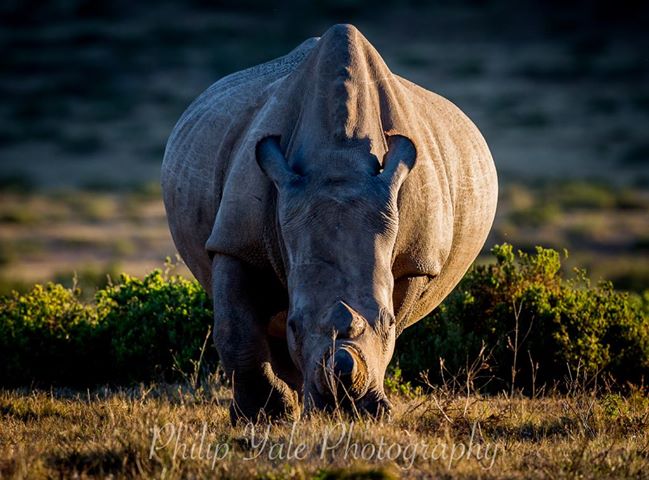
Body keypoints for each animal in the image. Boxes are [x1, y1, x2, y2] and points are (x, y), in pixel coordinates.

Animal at [161, 24, 496, 422]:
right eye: (295, 324)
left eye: (388, 323)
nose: (343, 406)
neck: (339, 159)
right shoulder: (237, 241)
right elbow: (235, 330)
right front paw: (262, 416)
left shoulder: (417, 259)